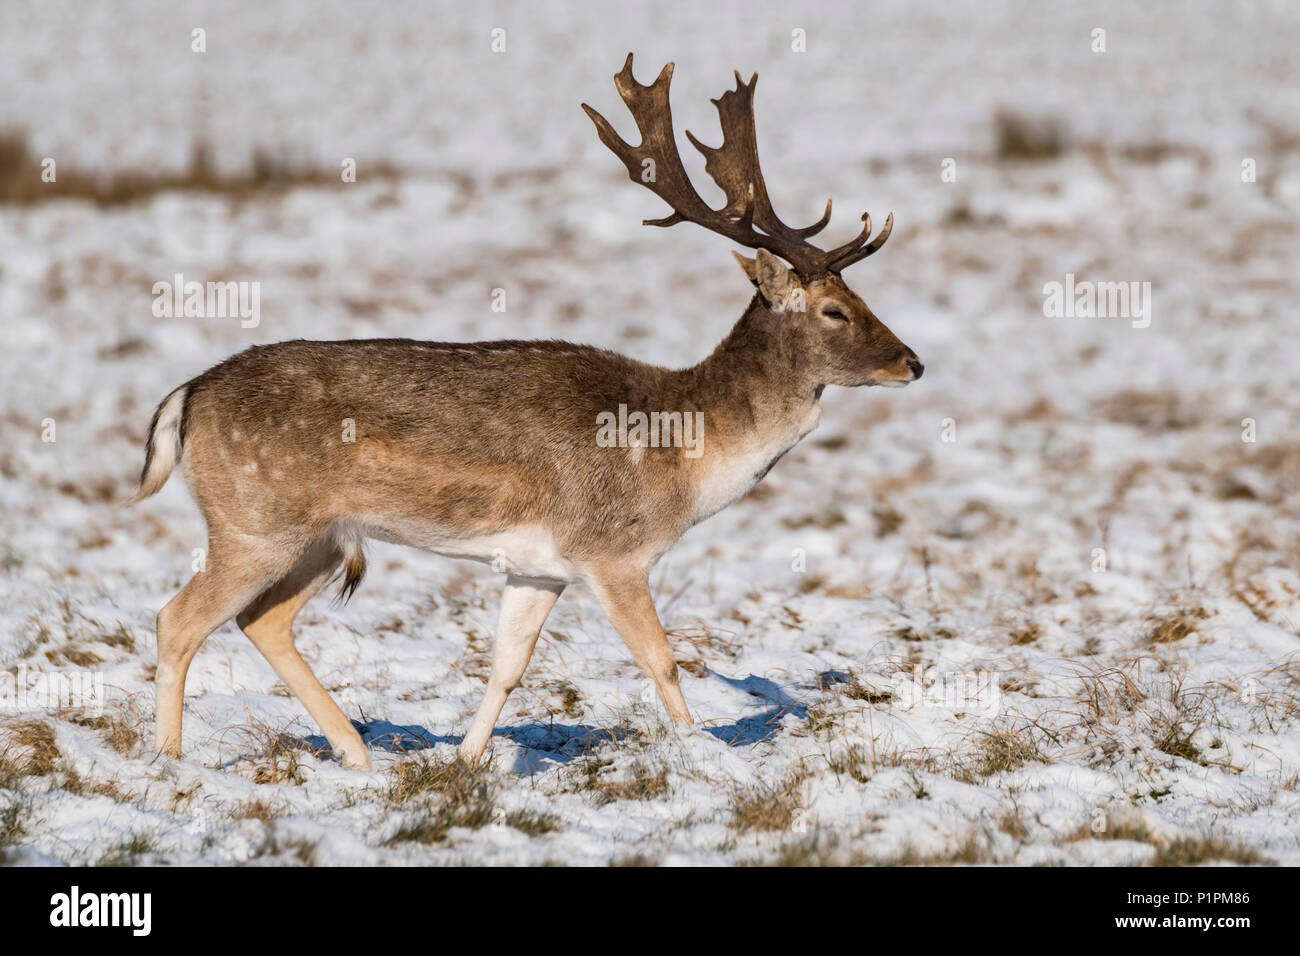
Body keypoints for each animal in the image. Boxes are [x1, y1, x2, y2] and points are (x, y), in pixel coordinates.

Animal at [131, 52, 920, 775]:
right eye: (834, 309)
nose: (913, 362)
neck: (686, 455)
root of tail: (184, 397)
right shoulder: (611, 550)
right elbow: (661, 659)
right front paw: (709, 758)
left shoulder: (540, 568)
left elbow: (507, 666)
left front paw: (467, 762)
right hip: (254, 521)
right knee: (179, 619)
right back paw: (169, 761)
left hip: (318, 537)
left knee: (261, 620)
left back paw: (357, 756)